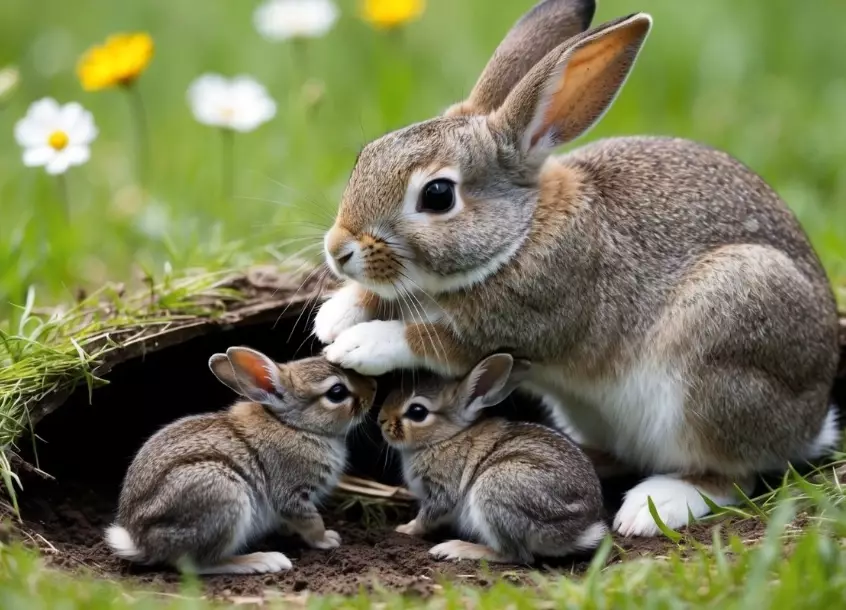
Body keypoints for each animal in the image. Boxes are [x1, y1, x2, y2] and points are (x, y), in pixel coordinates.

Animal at [104, 347, 377, 574]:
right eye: (337, 392)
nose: (373, 387)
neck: (295, 425)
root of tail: (142, 544)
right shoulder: (292, 494)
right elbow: (311, 521)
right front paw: (327, 539)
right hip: (224, 497)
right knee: (196, 565)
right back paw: (264, 561)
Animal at [314, 0, 841, 537]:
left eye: (438, 195)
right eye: (366, 155)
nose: (337, 249)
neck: (521, 232)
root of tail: (810, 424)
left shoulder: (524, 326)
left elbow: (432, 340)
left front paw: (359, 345)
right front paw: (332, 319)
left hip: (723, 356)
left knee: (732, 474)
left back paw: (653, 506)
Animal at [380, 353, 607, 563]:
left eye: (417, 411)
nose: (381, 419)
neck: (445, 437)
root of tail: (574, 533)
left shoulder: (442, 491)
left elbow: (428, 516)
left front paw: (405, 529)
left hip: (495, 490)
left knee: (515, 555)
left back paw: (456, 548)